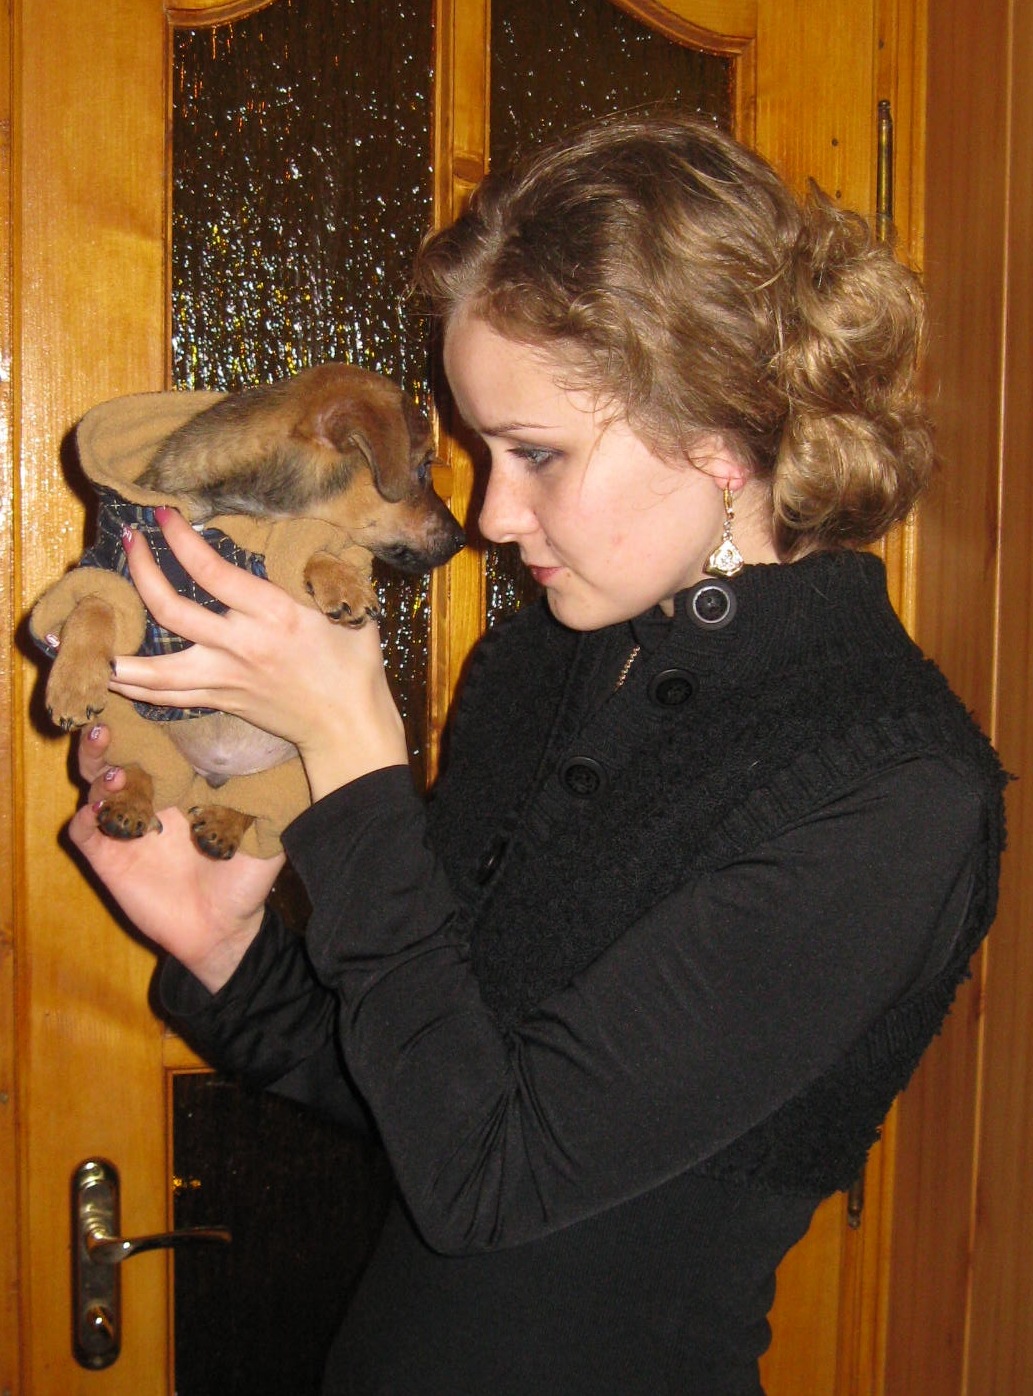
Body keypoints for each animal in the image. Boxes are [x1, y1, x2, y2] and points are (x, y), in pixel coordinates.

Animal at [30, 364, 465, 858]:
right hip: (131, 727)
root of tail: (217, 774)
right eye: (423, 467)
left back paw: (221, 823)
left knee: (256, 809)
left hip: (292, 776)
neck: (228, 512)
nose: (461, 539)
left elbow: (304, 551)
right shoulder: (108, 559)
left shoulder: (294, 542)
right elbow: (94, 604)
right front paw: (72, 682)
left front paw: (342, 580)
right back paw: (129, 804)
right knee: (143, 769)